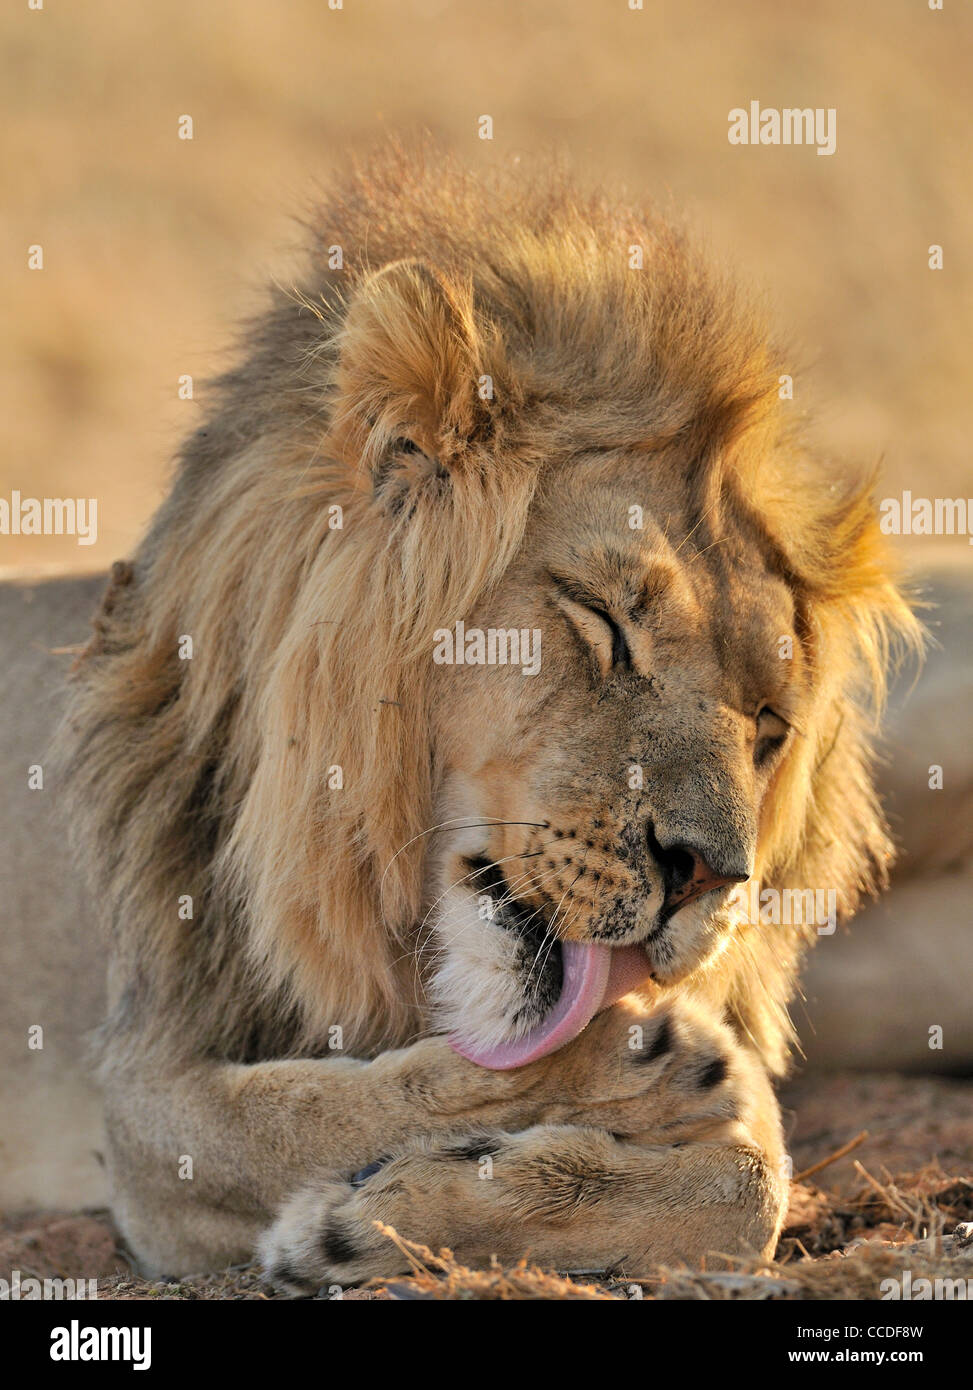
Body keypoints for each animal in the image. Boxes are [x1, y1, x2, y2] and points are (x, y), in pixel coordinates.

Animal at [0, 149, 922, 1278]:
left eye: (766, 726)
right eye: (604, 621)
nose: (710, 875)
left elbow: (751, 1186)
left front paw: (379, 1218)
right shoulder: (140, 1103)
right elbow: (327, 1107)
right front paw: (634, 1069)